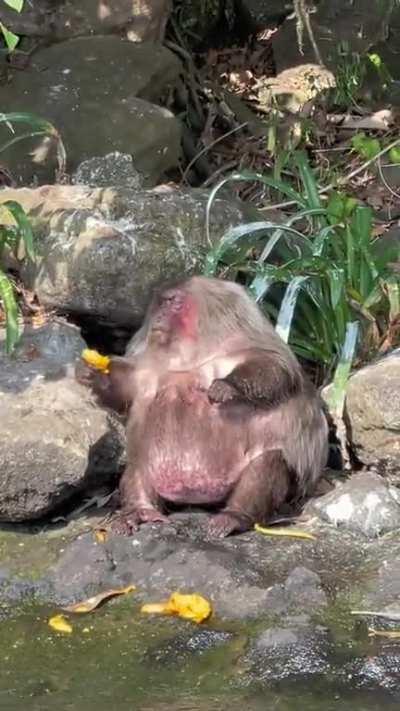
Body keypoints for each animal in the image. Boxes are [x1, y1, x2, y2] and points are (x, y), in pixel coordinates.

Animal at [76, 275, 328, 538]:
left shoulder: (242, 337)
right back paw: (139, 510)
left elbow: (274, 367)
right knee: (138, 464)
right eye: (160, 303)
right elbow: (126, 391)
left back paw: (236, 516)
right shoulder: (146, 361)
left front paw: (228, 386)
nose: (159, 316)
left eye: (171, 302)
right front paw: (95, 376)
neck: (190, 351)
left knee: (268, 462)